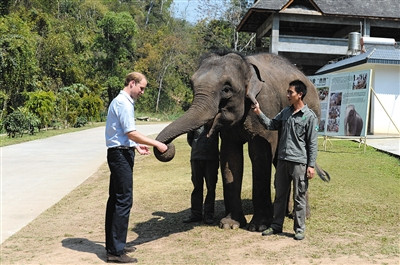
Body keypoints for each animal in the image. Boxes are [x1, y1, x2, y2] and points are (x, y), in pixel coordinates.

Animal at [153, 51, 328, 231]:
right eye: (192, 85)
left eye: (226, 89)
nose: (167, 147)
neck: (246, 66)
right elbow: (230, 157)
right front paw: (229, 225)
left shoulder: (266, 105)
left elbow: (259, 155)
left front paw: (259, 227)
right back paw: (284, 212)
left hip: (313, 112)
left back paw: (300, 215)